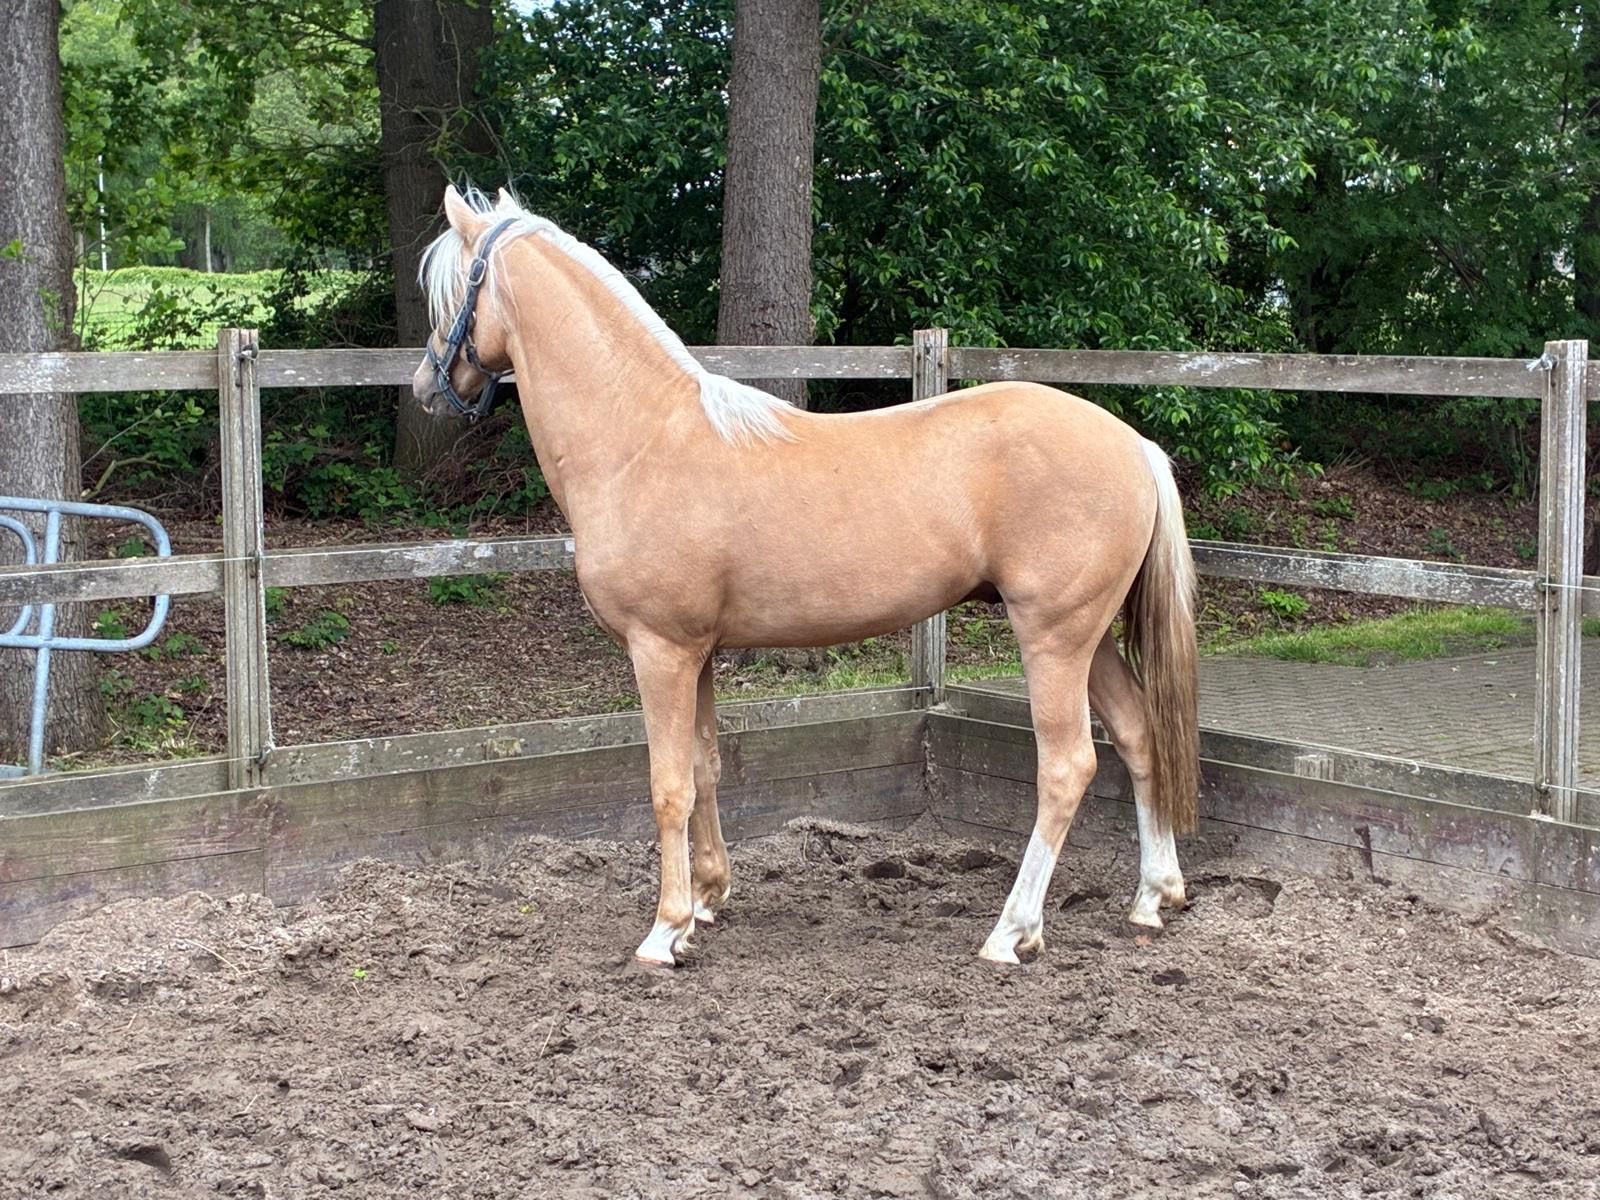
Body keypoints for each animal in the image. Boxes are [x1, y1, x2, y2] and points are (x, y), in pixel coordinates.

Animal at [412, 185, 1200, 967]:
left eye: (451, 294)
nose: (425, 385)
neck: (642, 441)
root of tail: (1133, 444)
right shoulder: (698, 654)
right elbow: (706, 768)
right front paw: (707, 900)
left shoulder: (660, 651)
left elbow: (668, 787)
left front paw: (666, 930)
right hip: (1090, 639)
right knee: (1137, 736)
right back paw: (1152, 897)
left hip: (1053, 638)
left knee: (1066, 767)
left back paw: (1012, 931)